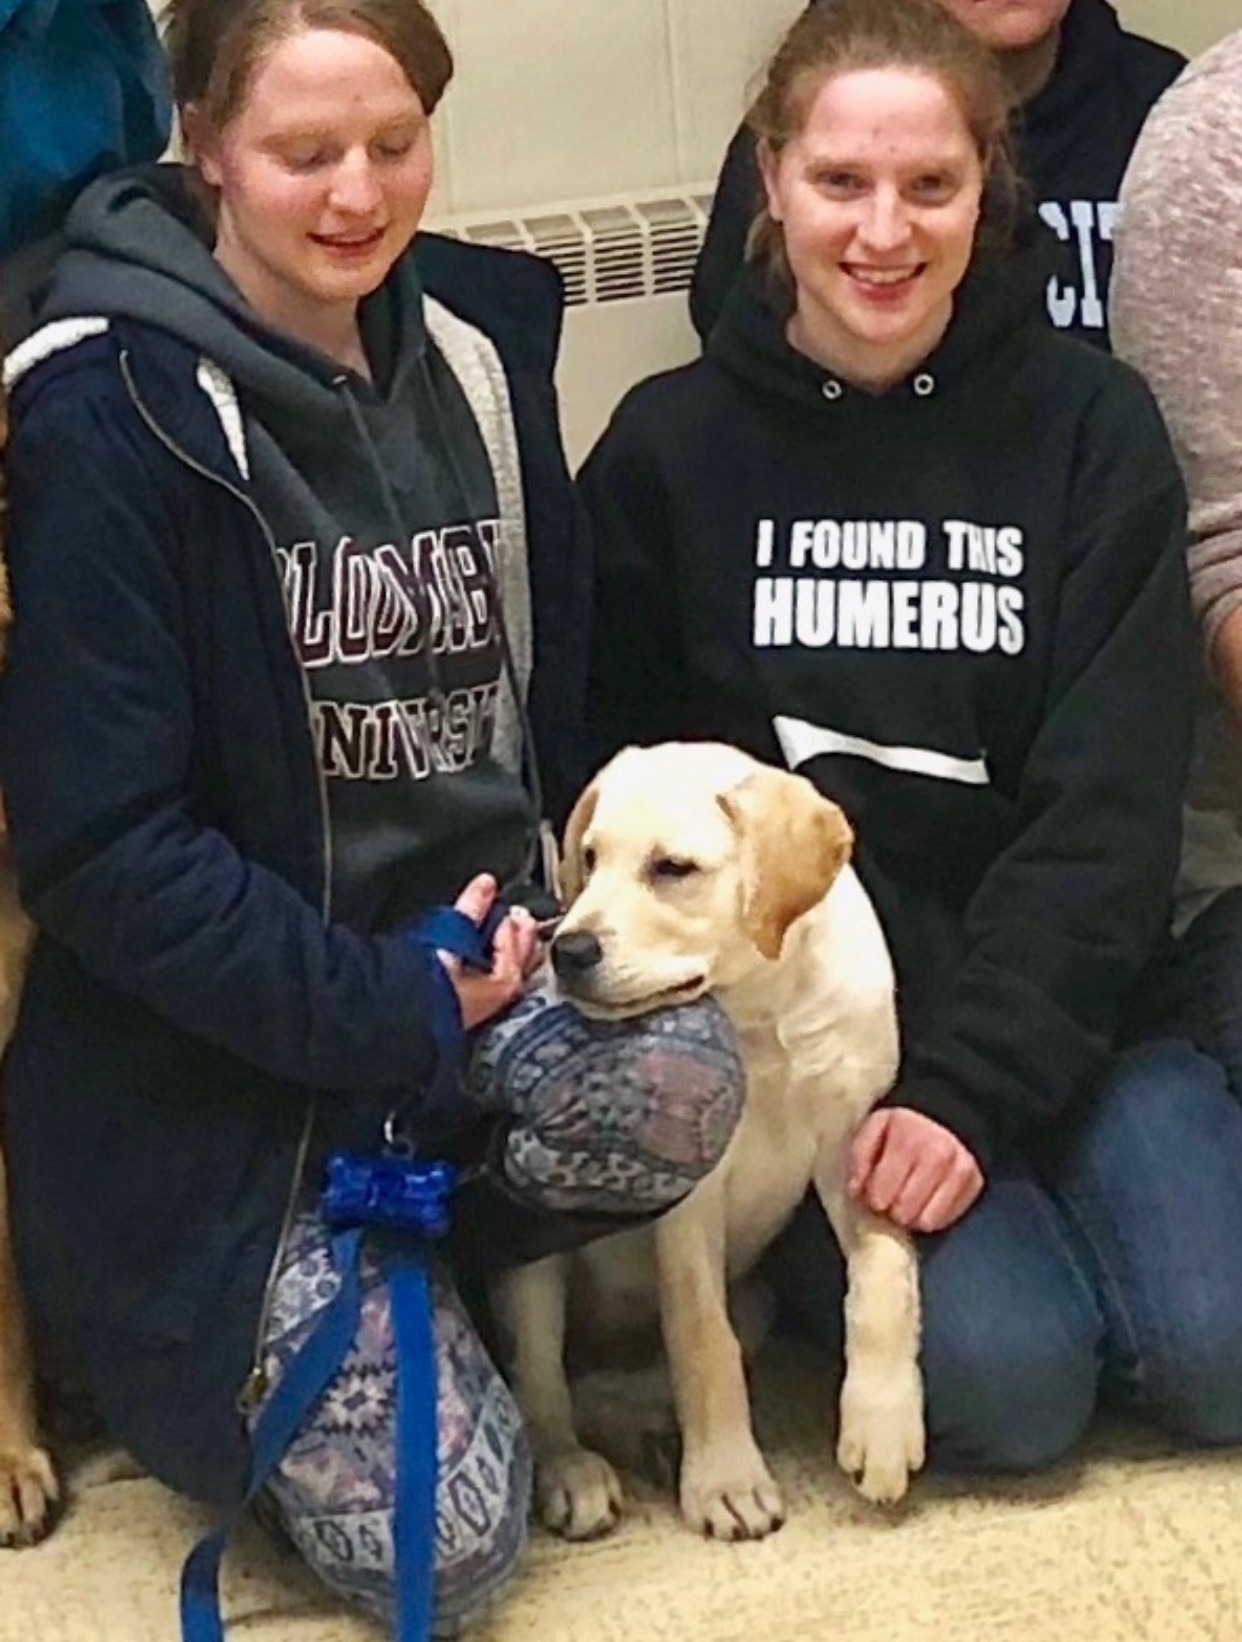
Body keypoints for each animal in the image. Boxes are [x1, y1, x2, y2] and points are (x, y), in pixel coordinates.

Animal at [492, 742, 924, 1542]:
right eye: (589, 857)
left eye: (673, 868)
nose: (567, 949)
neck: (761, 1012)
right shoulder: (688, 1202)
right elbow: (700, 1336)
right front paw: (726, 1480)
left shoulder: (855, 1137)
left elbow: (884, 1274)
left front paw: (882, 1425)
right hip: (532, 1263)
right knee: (542, 1381)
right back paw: (574, 1471)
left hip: (757, 1298)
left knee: (619, 1384)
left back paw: (650, 1433)